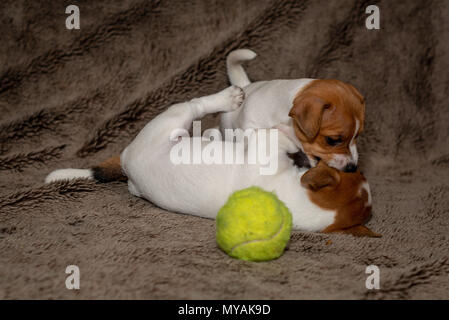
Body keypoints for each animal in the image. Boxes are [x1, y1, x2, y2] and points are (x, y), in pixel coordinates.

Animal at [46, 86, 378, 236]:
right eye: (356, 175)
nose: (353, 166)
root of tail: (127, 159)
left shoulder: (264, 150)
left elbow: (277, 136)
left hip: (169, 123)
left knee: (195, 105)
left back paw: (224, 105)